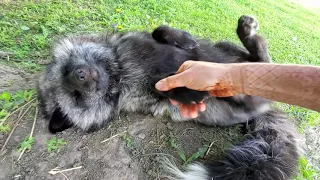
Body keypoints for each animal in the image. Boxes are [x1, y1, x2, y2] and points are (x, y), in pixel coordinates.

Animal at [37, 15, 300, 180]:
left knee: (261, 57)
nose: (80, 75)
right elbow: (165, 88)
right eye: (76, 97)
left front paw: (184, 39)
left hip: (229, 49)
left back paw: (247, 32)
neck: (121, 71)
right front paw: (190, 89)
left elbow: (160, 30)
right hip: (233, 105)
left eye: (67, 70)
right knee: (251, 89)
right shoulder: (152, 93)